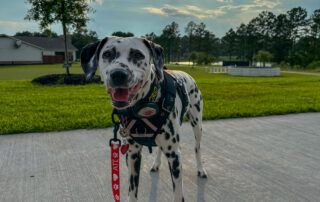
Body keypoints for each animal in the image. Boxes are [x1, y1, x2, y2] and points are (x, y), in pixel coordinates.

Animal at [80, 36, 208, 202]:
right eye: (107, 54)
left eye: (138, 55)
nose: (118, 74)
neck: (145, 105)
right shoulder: (133, 155)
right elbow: (132, 191)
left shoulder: (174, 156)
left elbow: (178, 194)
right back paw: (156, 163)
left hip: (197, 124)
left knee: (197, 147)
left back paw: (201, 169)